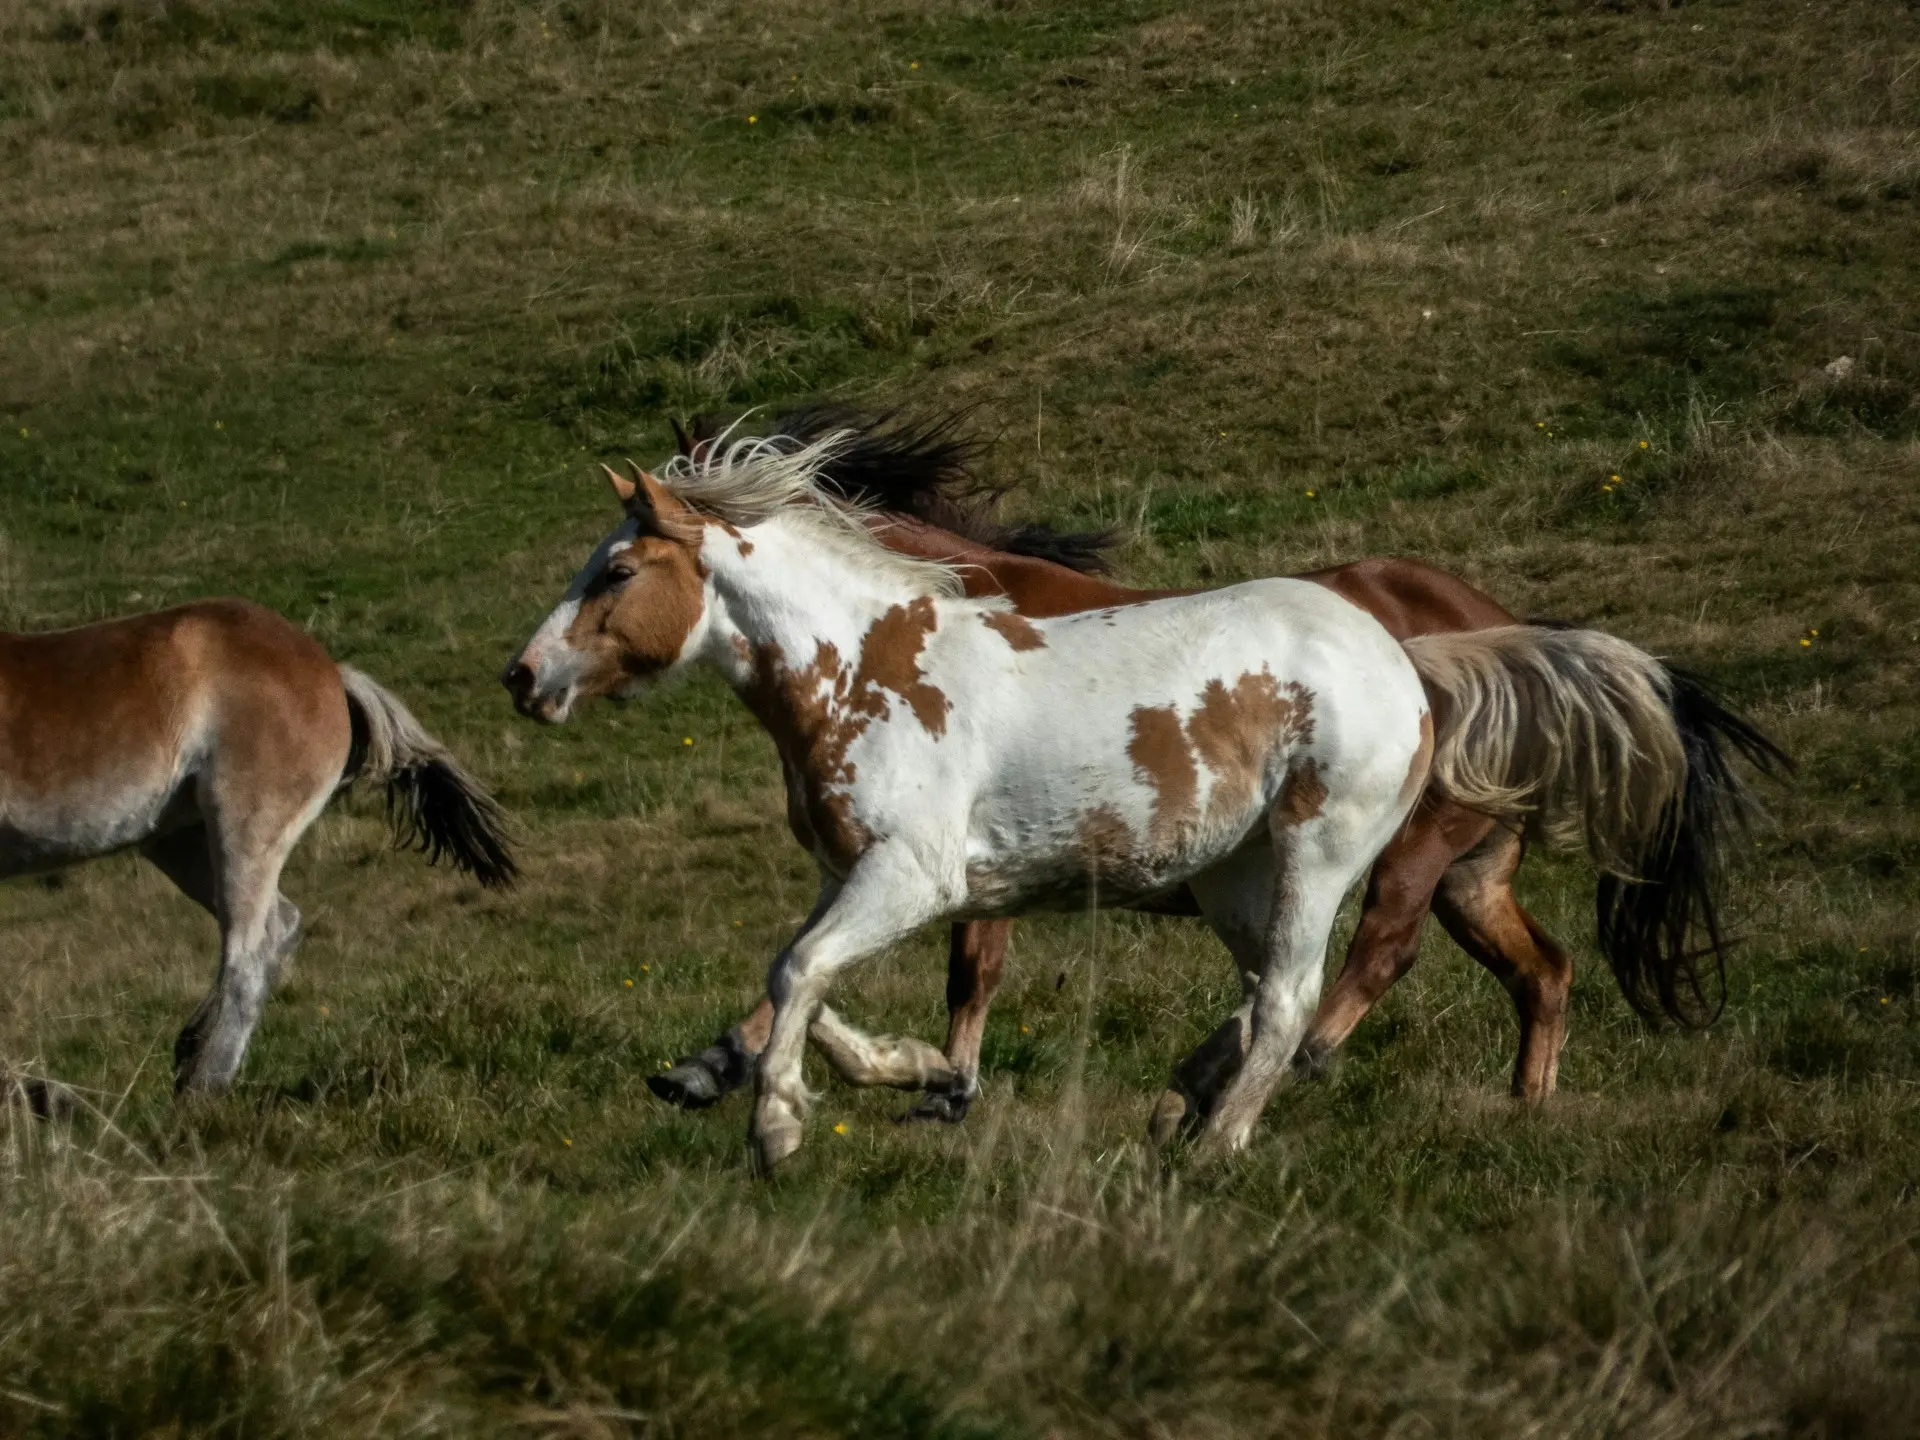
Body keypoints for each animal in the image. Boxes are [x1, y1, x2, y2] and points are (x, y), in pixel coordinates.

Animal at [1, 602, 518, 1098]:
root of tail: (330, 670)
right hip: (181, 842)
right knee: (279, 926)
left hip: (244, 830)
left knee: (247, 952)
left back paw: (200, 1085)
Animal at [510, 437, 1728, 1175]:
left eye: (616, 572)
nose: (523, 677)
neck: (870, 665)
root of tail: (1409, 654)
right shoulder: (857, 873)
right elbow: (794, 980)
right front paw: (909, 1072)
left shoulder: (915, 876)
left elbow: (804, 972)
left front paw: (779, 1127)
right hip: (1246, 879)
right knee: (1292, 993)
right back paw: (1186, 1106)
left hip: (1326, 854)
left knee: (1300, 998)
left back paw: (1218, 1144)